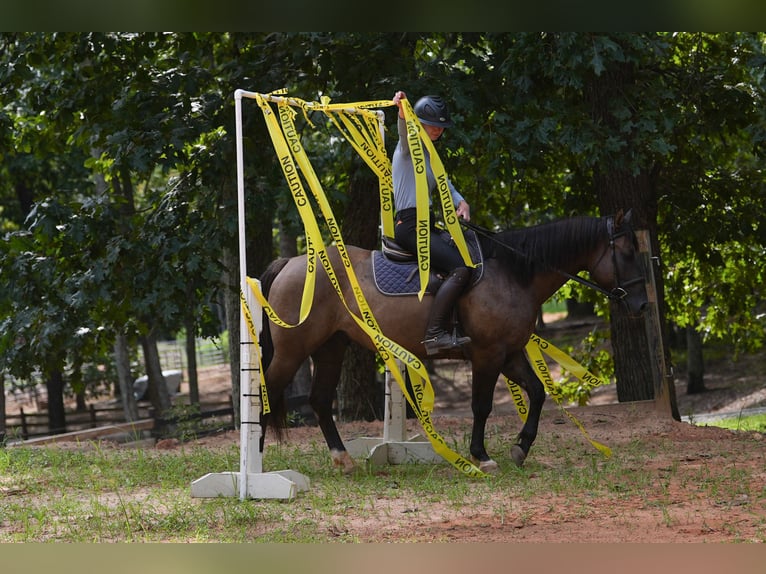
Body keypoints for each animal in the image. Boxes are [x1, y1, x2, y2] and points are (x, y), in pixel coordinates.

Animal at [257, 210, 647, 473]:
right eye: (627, 253)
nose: (642, 305)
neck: (512, 273)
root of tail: (291, 263)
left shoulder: (510, 354)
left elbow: (537, 393)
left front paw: (521, 447)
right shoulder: (488, 355)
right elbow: (481, 406)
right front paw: (482, 456)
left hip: (330, 348)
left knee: (320, 401)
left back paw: (342, 459)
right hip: (292, 351)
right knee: (267, 391)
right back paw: (256, 463)